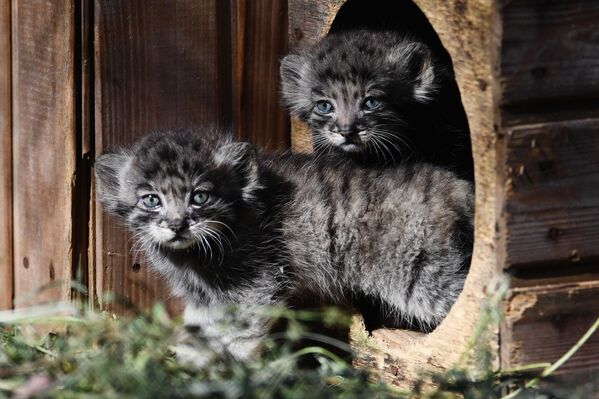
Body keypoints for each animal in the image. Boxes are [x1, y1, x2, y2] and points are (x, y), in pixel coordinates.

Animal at [96, 130, 476, 360]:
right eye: (151, 200)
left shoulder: (253, 284)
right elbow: (199, 328)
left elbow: (240, 333)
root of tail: (453, 185)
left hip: (422, 279)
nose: (177, 225)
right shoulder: (205, 295)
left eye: (200, 197)